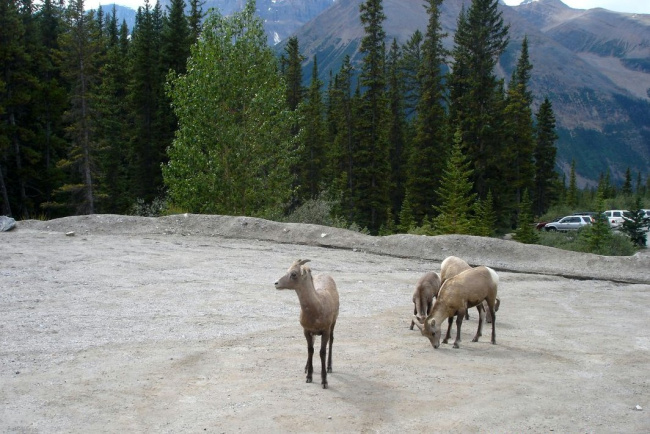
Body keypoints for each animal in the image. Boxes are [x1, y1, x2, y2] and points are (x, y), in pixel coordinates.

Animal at [272, 260, 340, 388]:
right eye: (287, 270)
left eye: (294, 274)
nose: (276, 283)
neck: (317, 308)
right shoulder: (306, 330)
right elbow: (310, 350)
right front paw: (309, 376)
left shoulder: (325, 330)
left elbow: (322, 352)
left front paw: (324, 382)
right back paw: (306, 367)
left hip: (334, 322)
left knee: (332, 340)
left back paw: (329, 367)